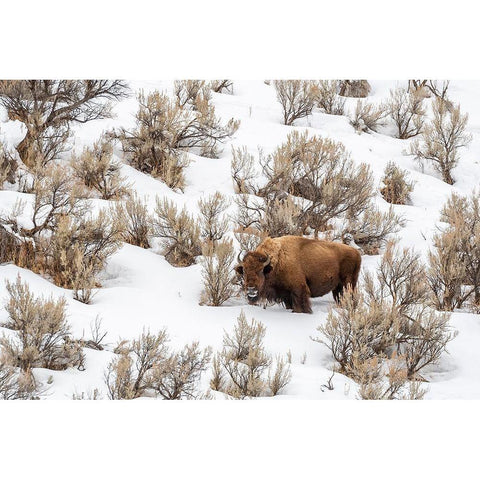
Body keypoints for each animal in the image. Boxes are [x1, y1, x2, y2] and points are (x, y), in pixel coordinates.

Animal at [234, 236, 362, 316]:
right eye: (244, 271)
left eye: (260, 270)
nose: (251, 289)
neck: (276, 262)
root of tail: (356, 252)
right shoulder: (286, 295)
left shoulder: (299, 290)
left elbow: (300, 307)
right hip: (337, 288)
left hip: (348, 284)